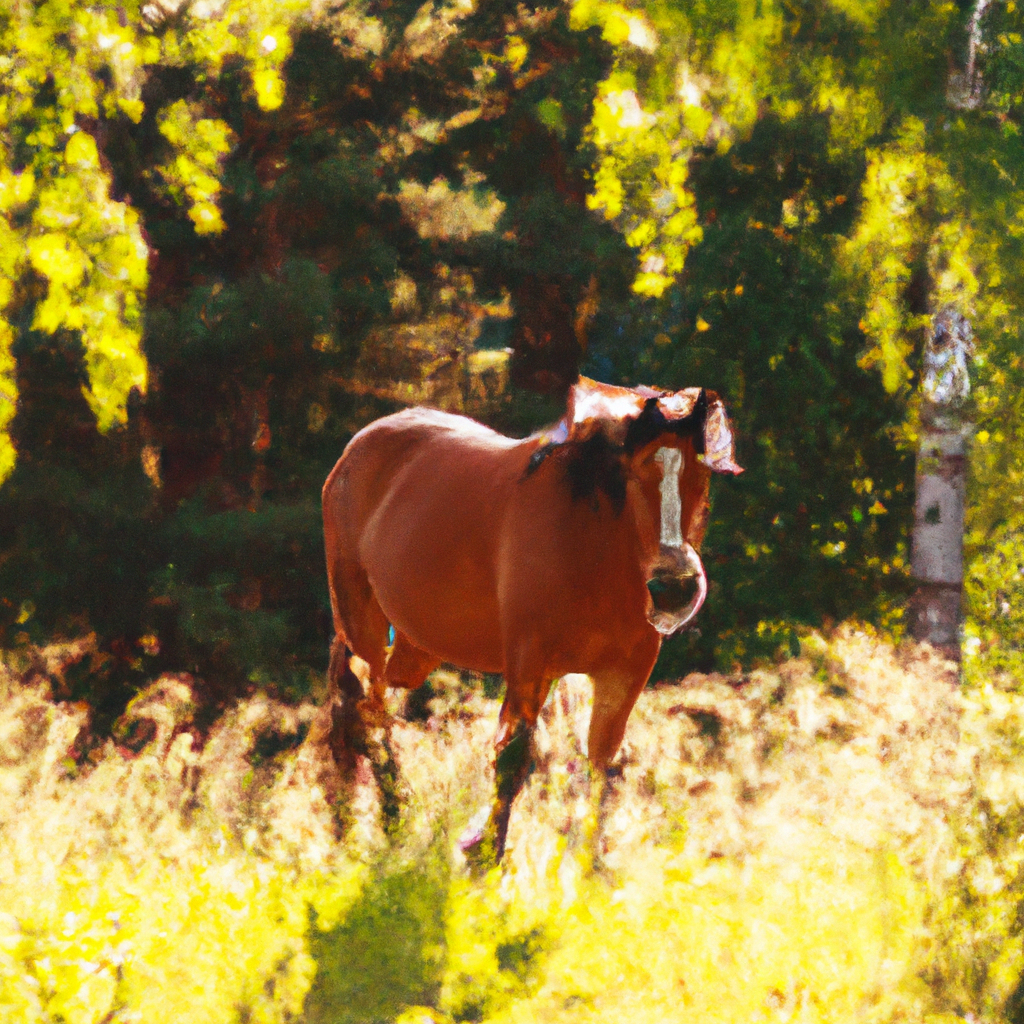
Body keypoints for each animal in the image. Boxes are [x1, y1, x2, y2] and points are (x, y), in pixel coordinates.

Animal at [323, 376, 741, 856]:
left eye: (701, 472)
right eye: (632, 471)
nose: (675, 588)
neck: (596, 549)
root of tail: (357, 446)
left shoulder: (625, 673)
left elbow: (601, 765)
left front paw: (586, 865)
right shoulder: (529, 663)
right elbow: (513, 758)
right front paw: (484, 855)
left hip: (416, 647)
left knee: (361, 706)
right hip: (361, 622)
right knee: (360, 711)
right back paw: (381, 827)